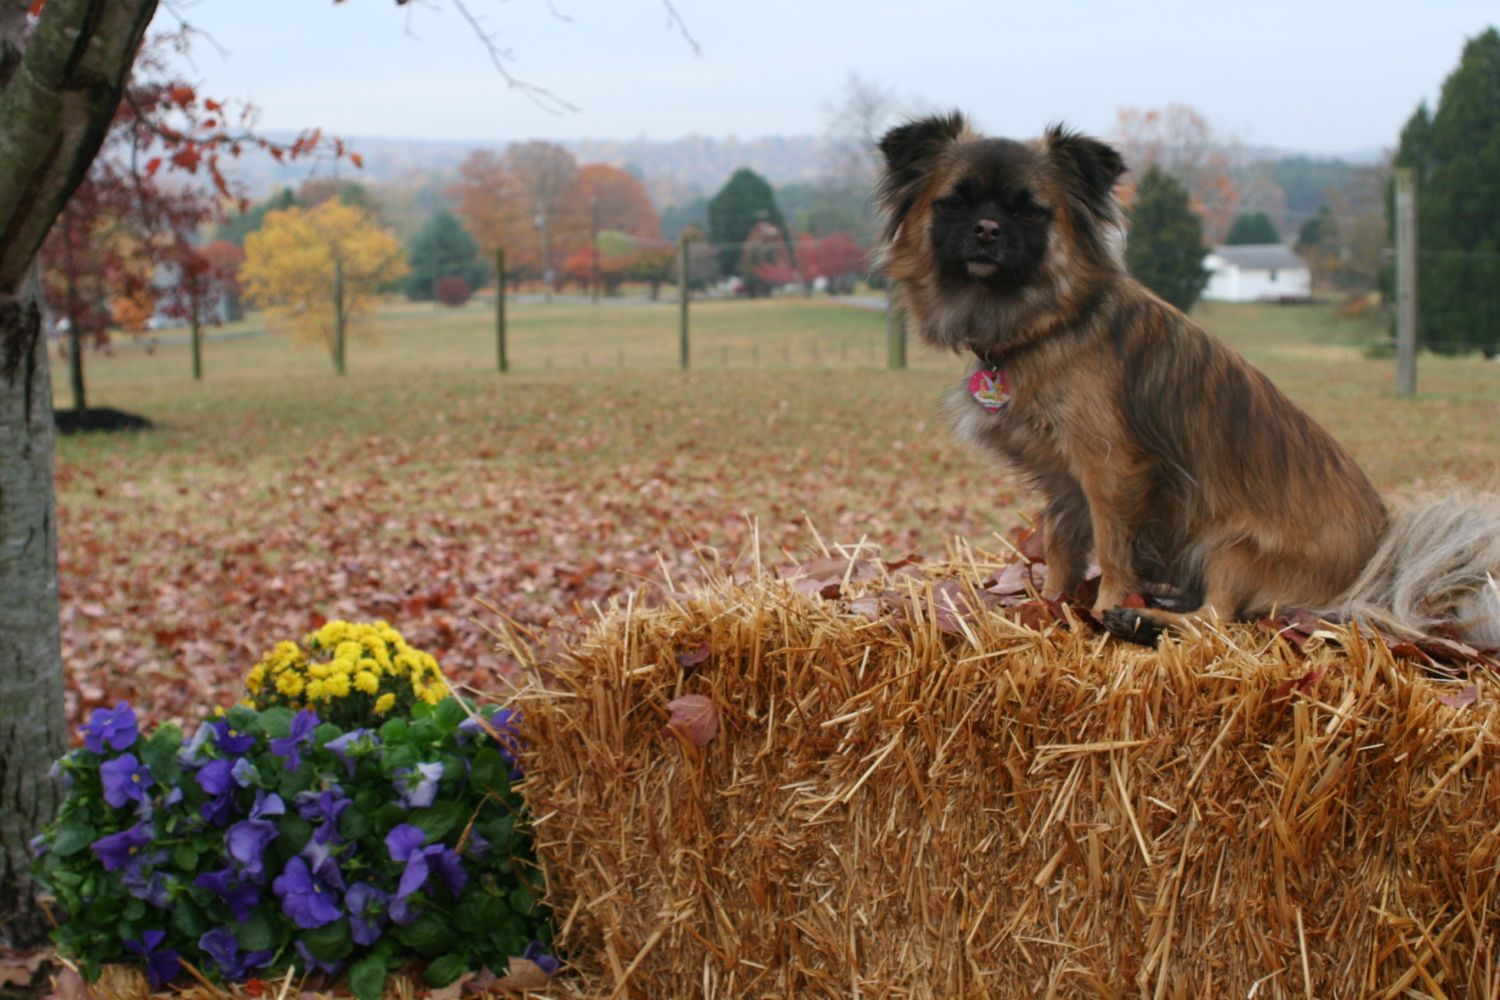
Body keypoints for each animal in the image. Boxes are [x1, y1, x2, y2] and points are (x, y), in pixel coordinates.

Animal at [875, 111, 1500, 646]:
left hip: (1228, 546)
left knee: (1217, 621)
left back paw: (1140, 620)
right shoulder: (1064, 482)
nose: (986, 229)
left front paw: (1104, 606)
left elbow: (1114, 549)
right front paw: (1049, 604)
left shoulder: (1111, 471)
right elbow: (1061, 546)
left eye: (1029, 211)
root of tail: (1378, 555)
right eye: (954, 204)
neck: (1050, 321)